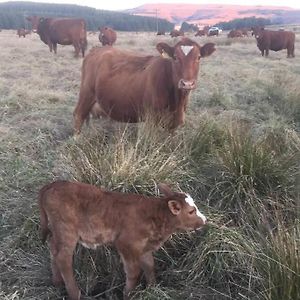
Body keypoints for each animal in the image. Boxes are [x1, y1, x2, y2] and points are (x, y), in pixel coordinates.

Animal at [38, 180, 206, 300]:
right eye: (191, 211)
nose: (205, 220)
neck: (155, 216)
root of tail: (52, 185)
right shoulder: (126, 244)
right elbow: (134, 272)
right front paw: (128, 294)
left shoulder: (144, 247)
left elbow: (150, 266)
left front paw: (152, 289)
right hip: (67, 232)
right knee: (63, 258)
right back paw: (75, 294)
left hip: (58, 232)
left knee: (53, 249)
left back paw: (57, 283)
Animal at [73, 37, 216, 134]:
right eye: (175, 57)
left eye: (198, 57)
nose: (187, 83)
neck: (177, 102)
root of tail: (97, 49)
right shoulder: (151, 119)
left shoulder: (173, 124)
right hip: (86, 93)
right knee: (79, 115)